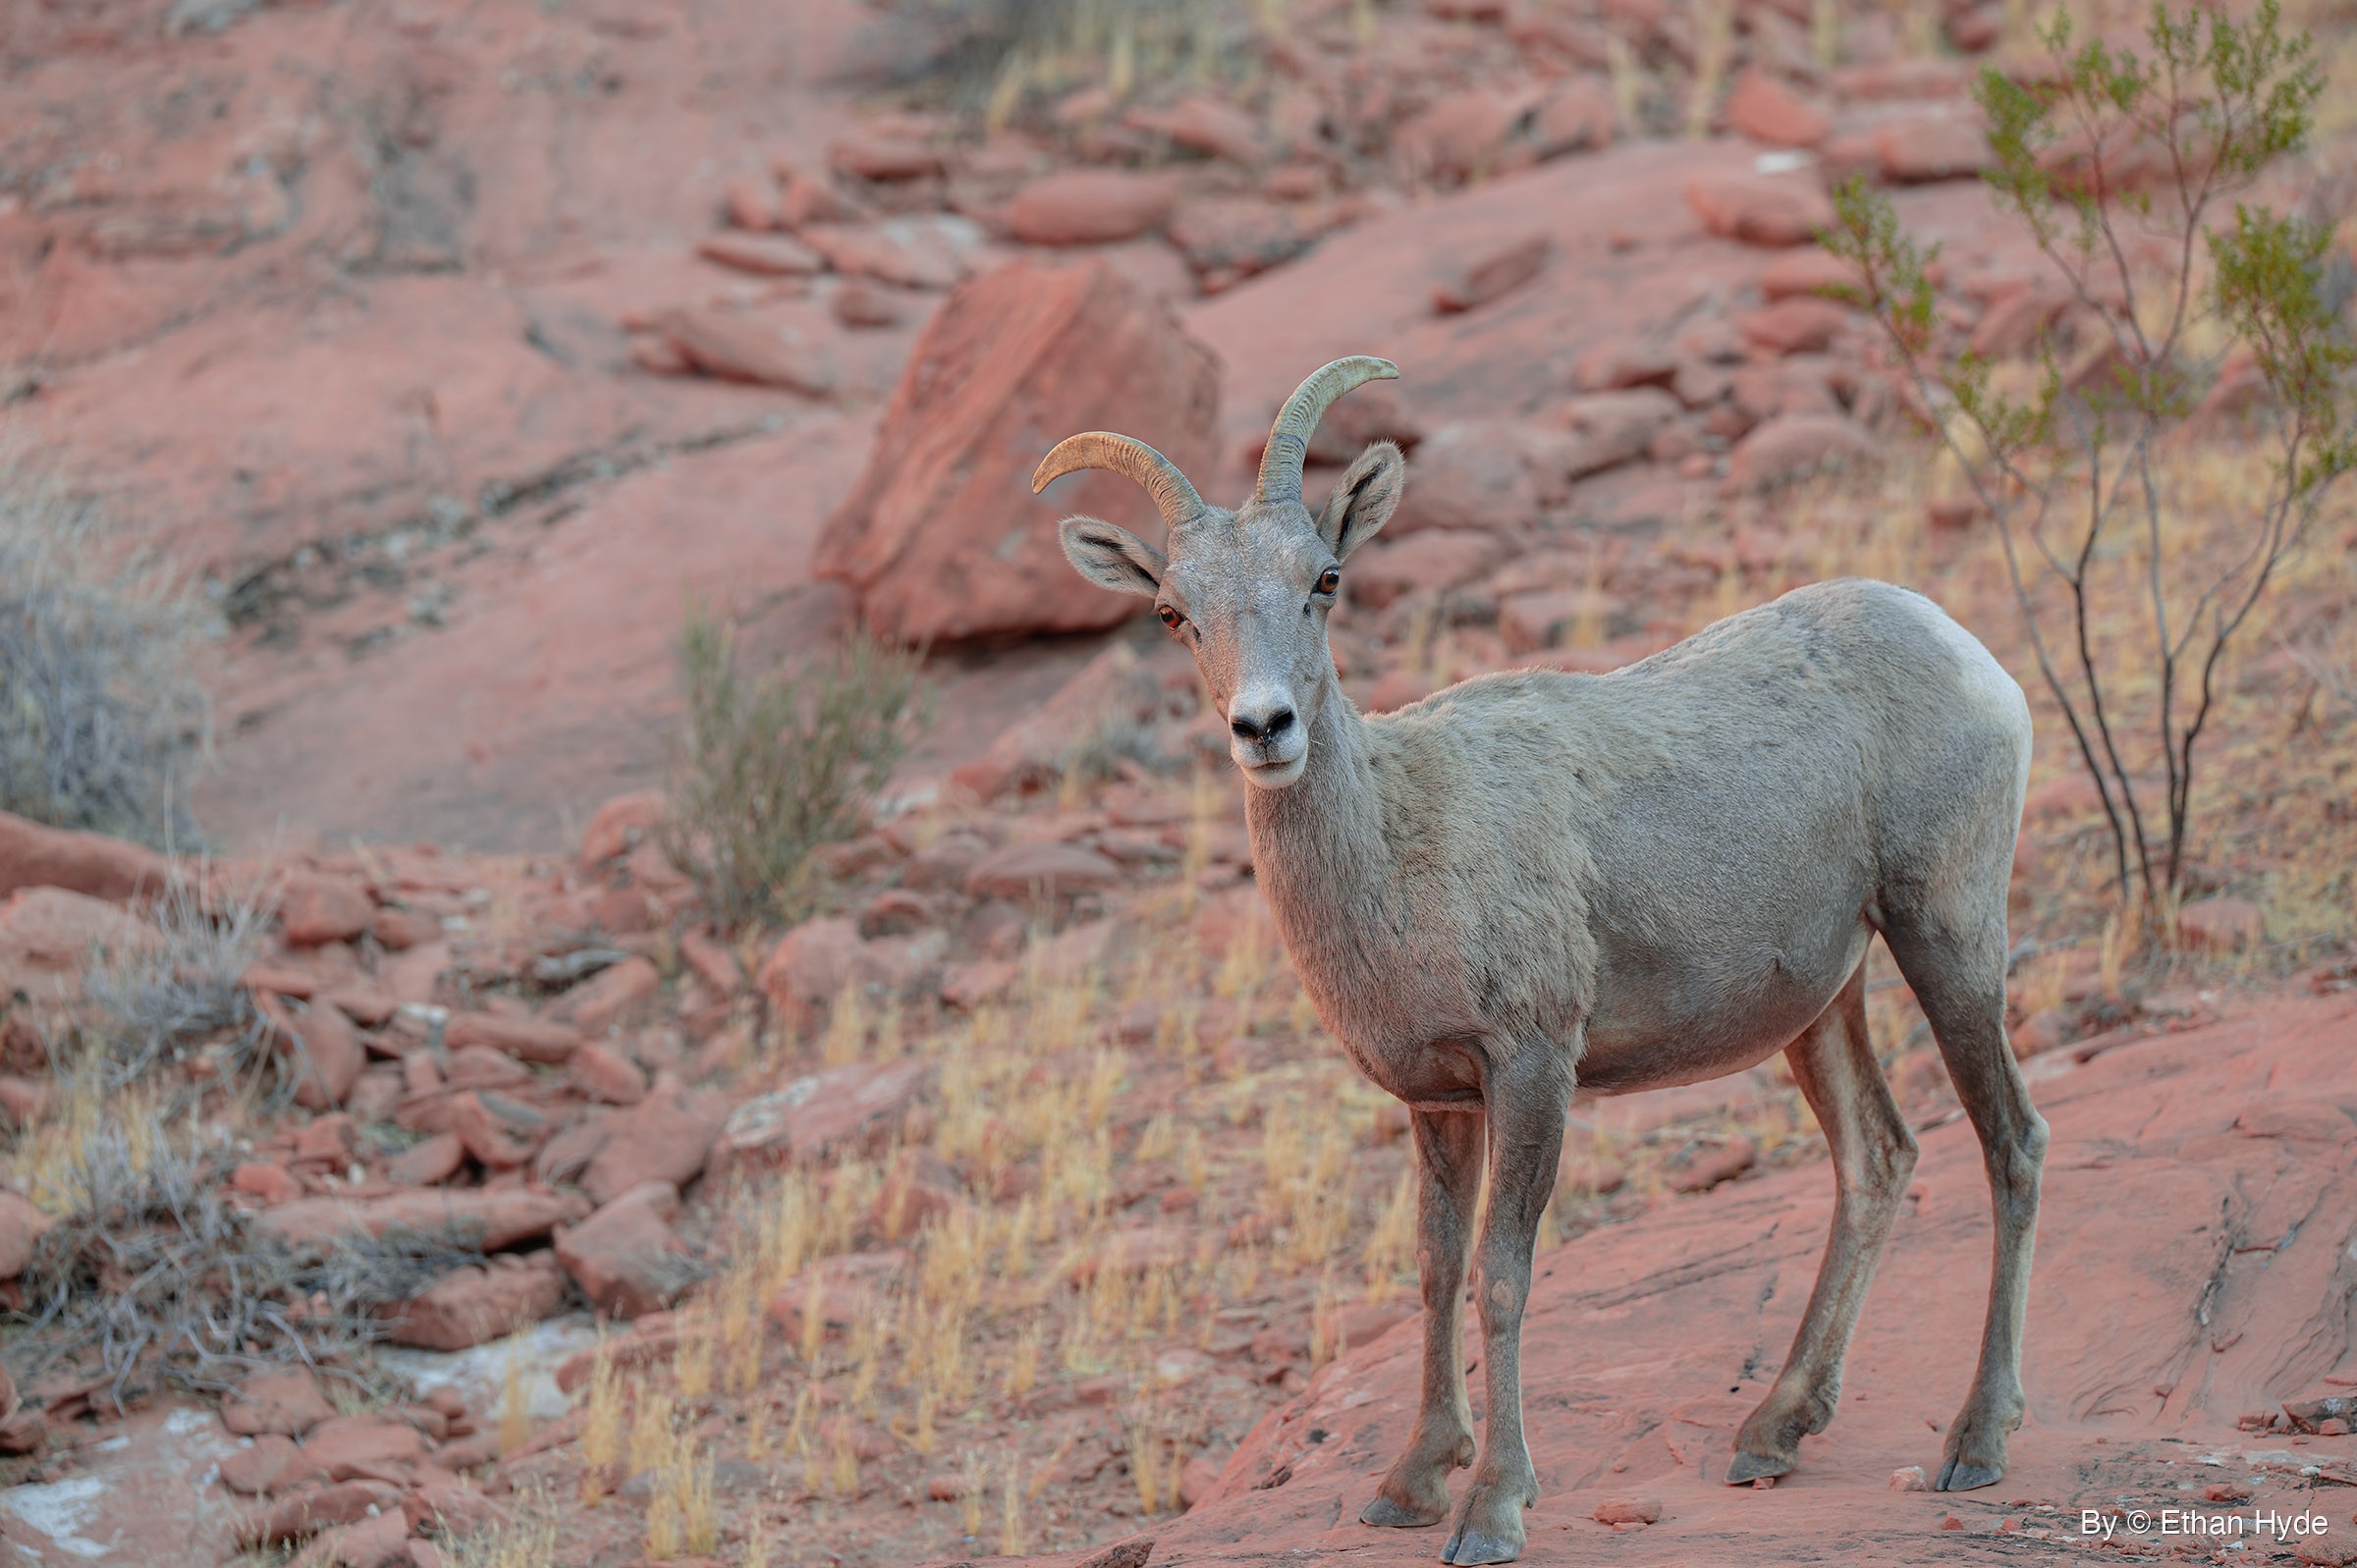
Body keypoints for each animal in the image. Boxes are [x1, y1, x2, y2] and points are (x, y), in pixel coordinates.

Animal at [1032, 358, 2046, 1565]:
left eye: (1325, 578)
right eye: (1173, 613)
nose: (1264, 727)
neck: (1399, 848)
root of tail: (1966, 651)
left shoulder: (1531, 1066)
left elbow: (1503, 1277)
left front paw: (1492, 1509)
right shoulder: (1438, 1100)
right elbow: (1434, 1270)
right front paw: (1411, 1481)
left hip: (1948, 935)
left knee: (2012, 1144)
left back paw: (1974, 1445)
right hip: (1825, 1002)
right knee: (1879, 1157)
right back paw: (1771, 1434)